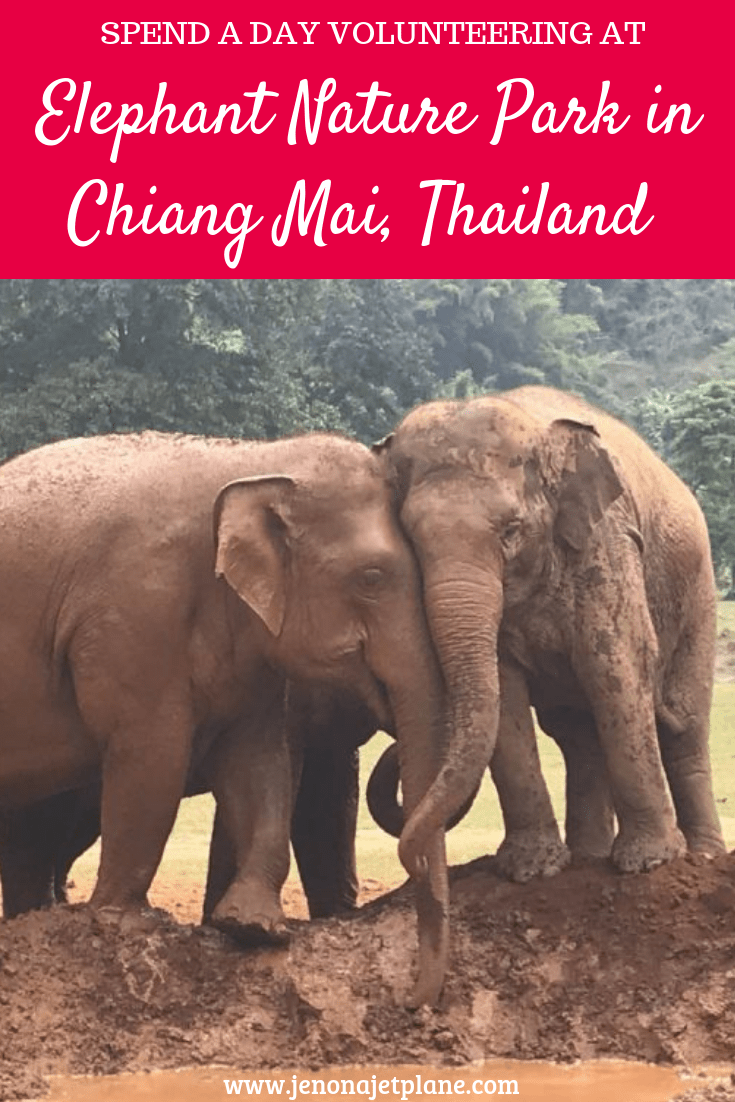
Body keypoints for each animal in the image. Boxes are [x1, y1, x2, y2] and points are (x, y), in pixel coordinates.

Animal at [0, 429, 464, 1000]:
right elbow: (152, 757)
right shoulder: (135, 619)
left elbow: (260, 765)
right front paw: (120, 920)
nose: (415, 998)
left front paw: (252, 925)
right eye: (372, 578)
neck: (251, 458)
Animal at [375, 386, 725, 897]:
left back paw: (702, 856)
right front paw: (532, 870)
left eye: (511, 530)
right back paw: (589, 857)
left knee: (685, 728)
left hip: (699, 595)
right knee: (578, 736)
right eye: (411, 540)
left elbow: (616, 668)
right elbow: (505, 694)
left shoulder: (606, 544)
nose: (418, 867)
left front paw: (650, 863)